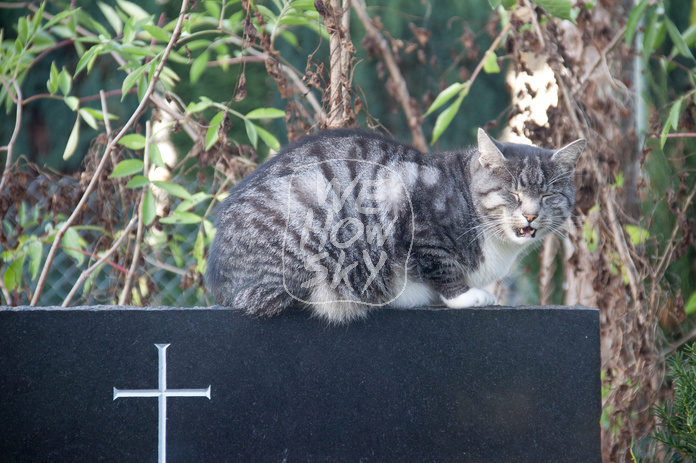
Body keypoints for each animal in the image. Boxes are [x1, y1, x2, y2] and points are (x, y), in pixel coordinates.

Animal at [204, 127, 584, 322]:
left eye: (548, 195)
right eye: (512, 193)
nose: (531, 215)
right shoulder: (412, 210)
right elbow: (440, 264)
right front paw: (465, 296)